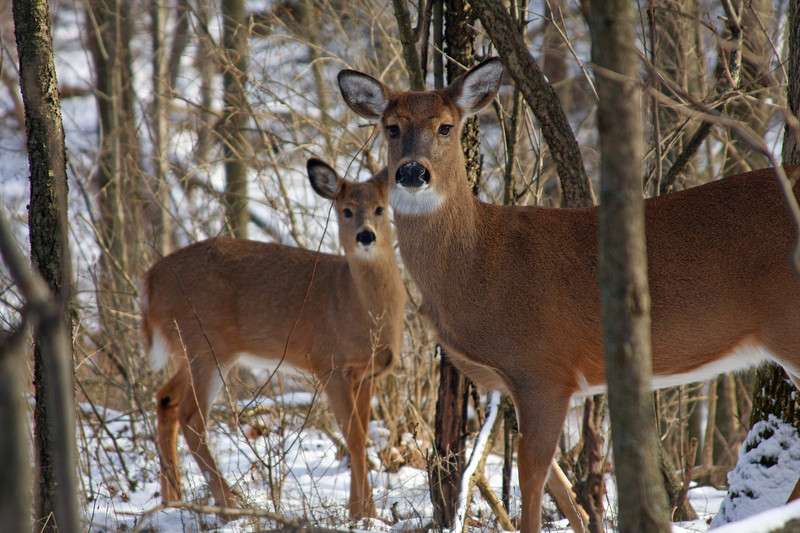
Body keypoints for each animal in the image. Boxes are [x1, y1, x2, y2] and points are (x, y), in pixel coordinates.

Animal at [140, 158, 405, 519]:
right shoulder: (330, 365)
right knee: (192, 418)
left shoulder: (368, 373)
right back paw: (229, 504)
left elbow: (362, 437)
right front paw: (363, 516)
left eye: (380, 208)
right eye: (346, 211)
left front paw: (365, 512)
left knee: (166, 399)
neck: (355, 303)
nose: (366, 235)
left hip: (194, 350)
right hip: (205, 345)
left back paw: (173, 502)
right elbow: (353, 437)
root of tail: (150, 281)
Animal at [337, 58, 800, 531]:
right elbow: (561, 487)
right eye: (391, 127)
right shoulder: (523, 383)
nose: (412, 172)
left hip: (790, 324)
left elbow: (533, 478)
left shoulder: (543, 367)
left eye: (446, 127)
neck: (480, 264)